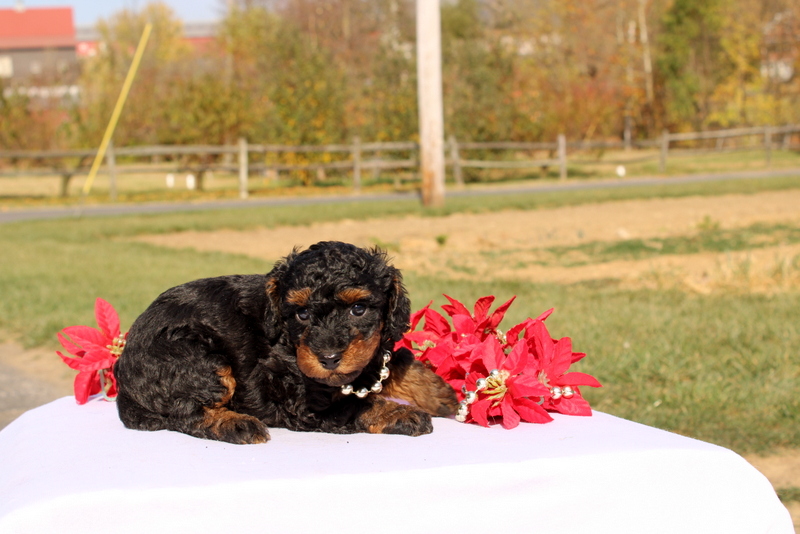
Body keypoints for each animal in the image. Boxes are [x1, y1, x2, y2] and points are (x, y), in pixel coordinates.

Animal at [115, 242, 460, 444]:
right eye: (302, 313)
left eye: (358, 308)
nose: (329, 358)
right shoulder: (304, 402)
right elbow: (357, 404)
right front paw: (400, 414)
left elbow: (395, 362)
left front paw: (441, 395)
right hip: (197, 360)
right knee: (185, 413)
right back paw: (236, 425)